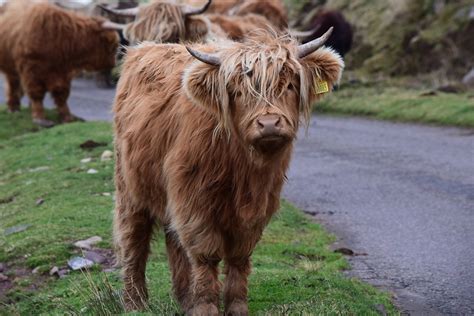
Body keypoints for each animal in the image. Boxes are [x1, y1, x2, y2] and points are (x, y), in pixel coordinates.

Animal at [113, 28, 342, 314]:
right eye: (238, 92)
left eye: (289, 85)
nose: (269, 124)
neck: (242, 167)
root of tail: (143, 49)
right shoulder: (194, 202)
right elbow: (206, 255)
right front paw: (205, 306)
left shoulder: (258, 206)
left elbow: (239, 257)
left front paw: (235, 306)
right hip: (130, 189)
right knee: (134, 239)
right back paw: (134, 301)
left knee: (173, 241)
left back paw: (184, 298)